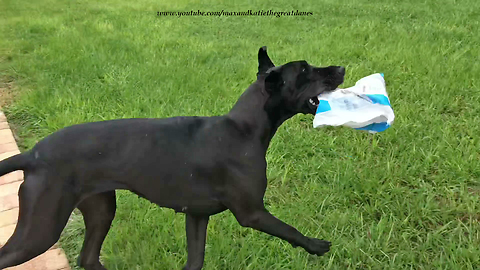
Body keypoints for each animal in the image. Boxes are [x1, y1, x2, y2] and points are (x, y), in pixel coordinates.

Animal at [0, 47, 344, 268]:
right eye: (305, 71)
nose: (341, 68)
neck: (242, 129)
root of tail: (33, 155)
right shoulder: (252, 213)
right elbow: (290, 230)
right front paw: (316, 245)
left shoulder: (197, 217)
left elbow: (195, 261)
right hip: (42, 228)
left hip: (101, 209)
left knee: (88, 257)